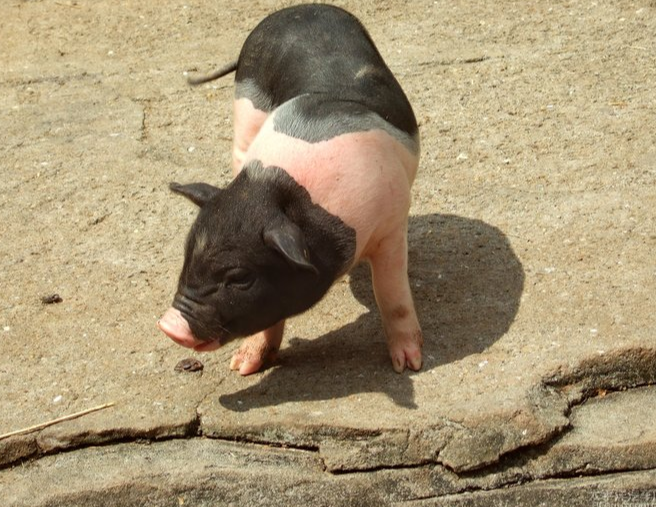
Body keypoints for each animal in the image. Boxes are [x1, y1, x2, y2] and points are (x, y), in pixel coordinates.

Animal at [160, 3, 426, 378]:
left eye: (240, 277)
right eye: (186, 255)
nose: (169, 325)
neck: (283, 188)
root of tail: (295, 9)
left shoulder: (390, 225)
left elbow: (392, 295)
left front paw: (409, 366)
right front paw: (242, 367)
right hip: (245, 105)